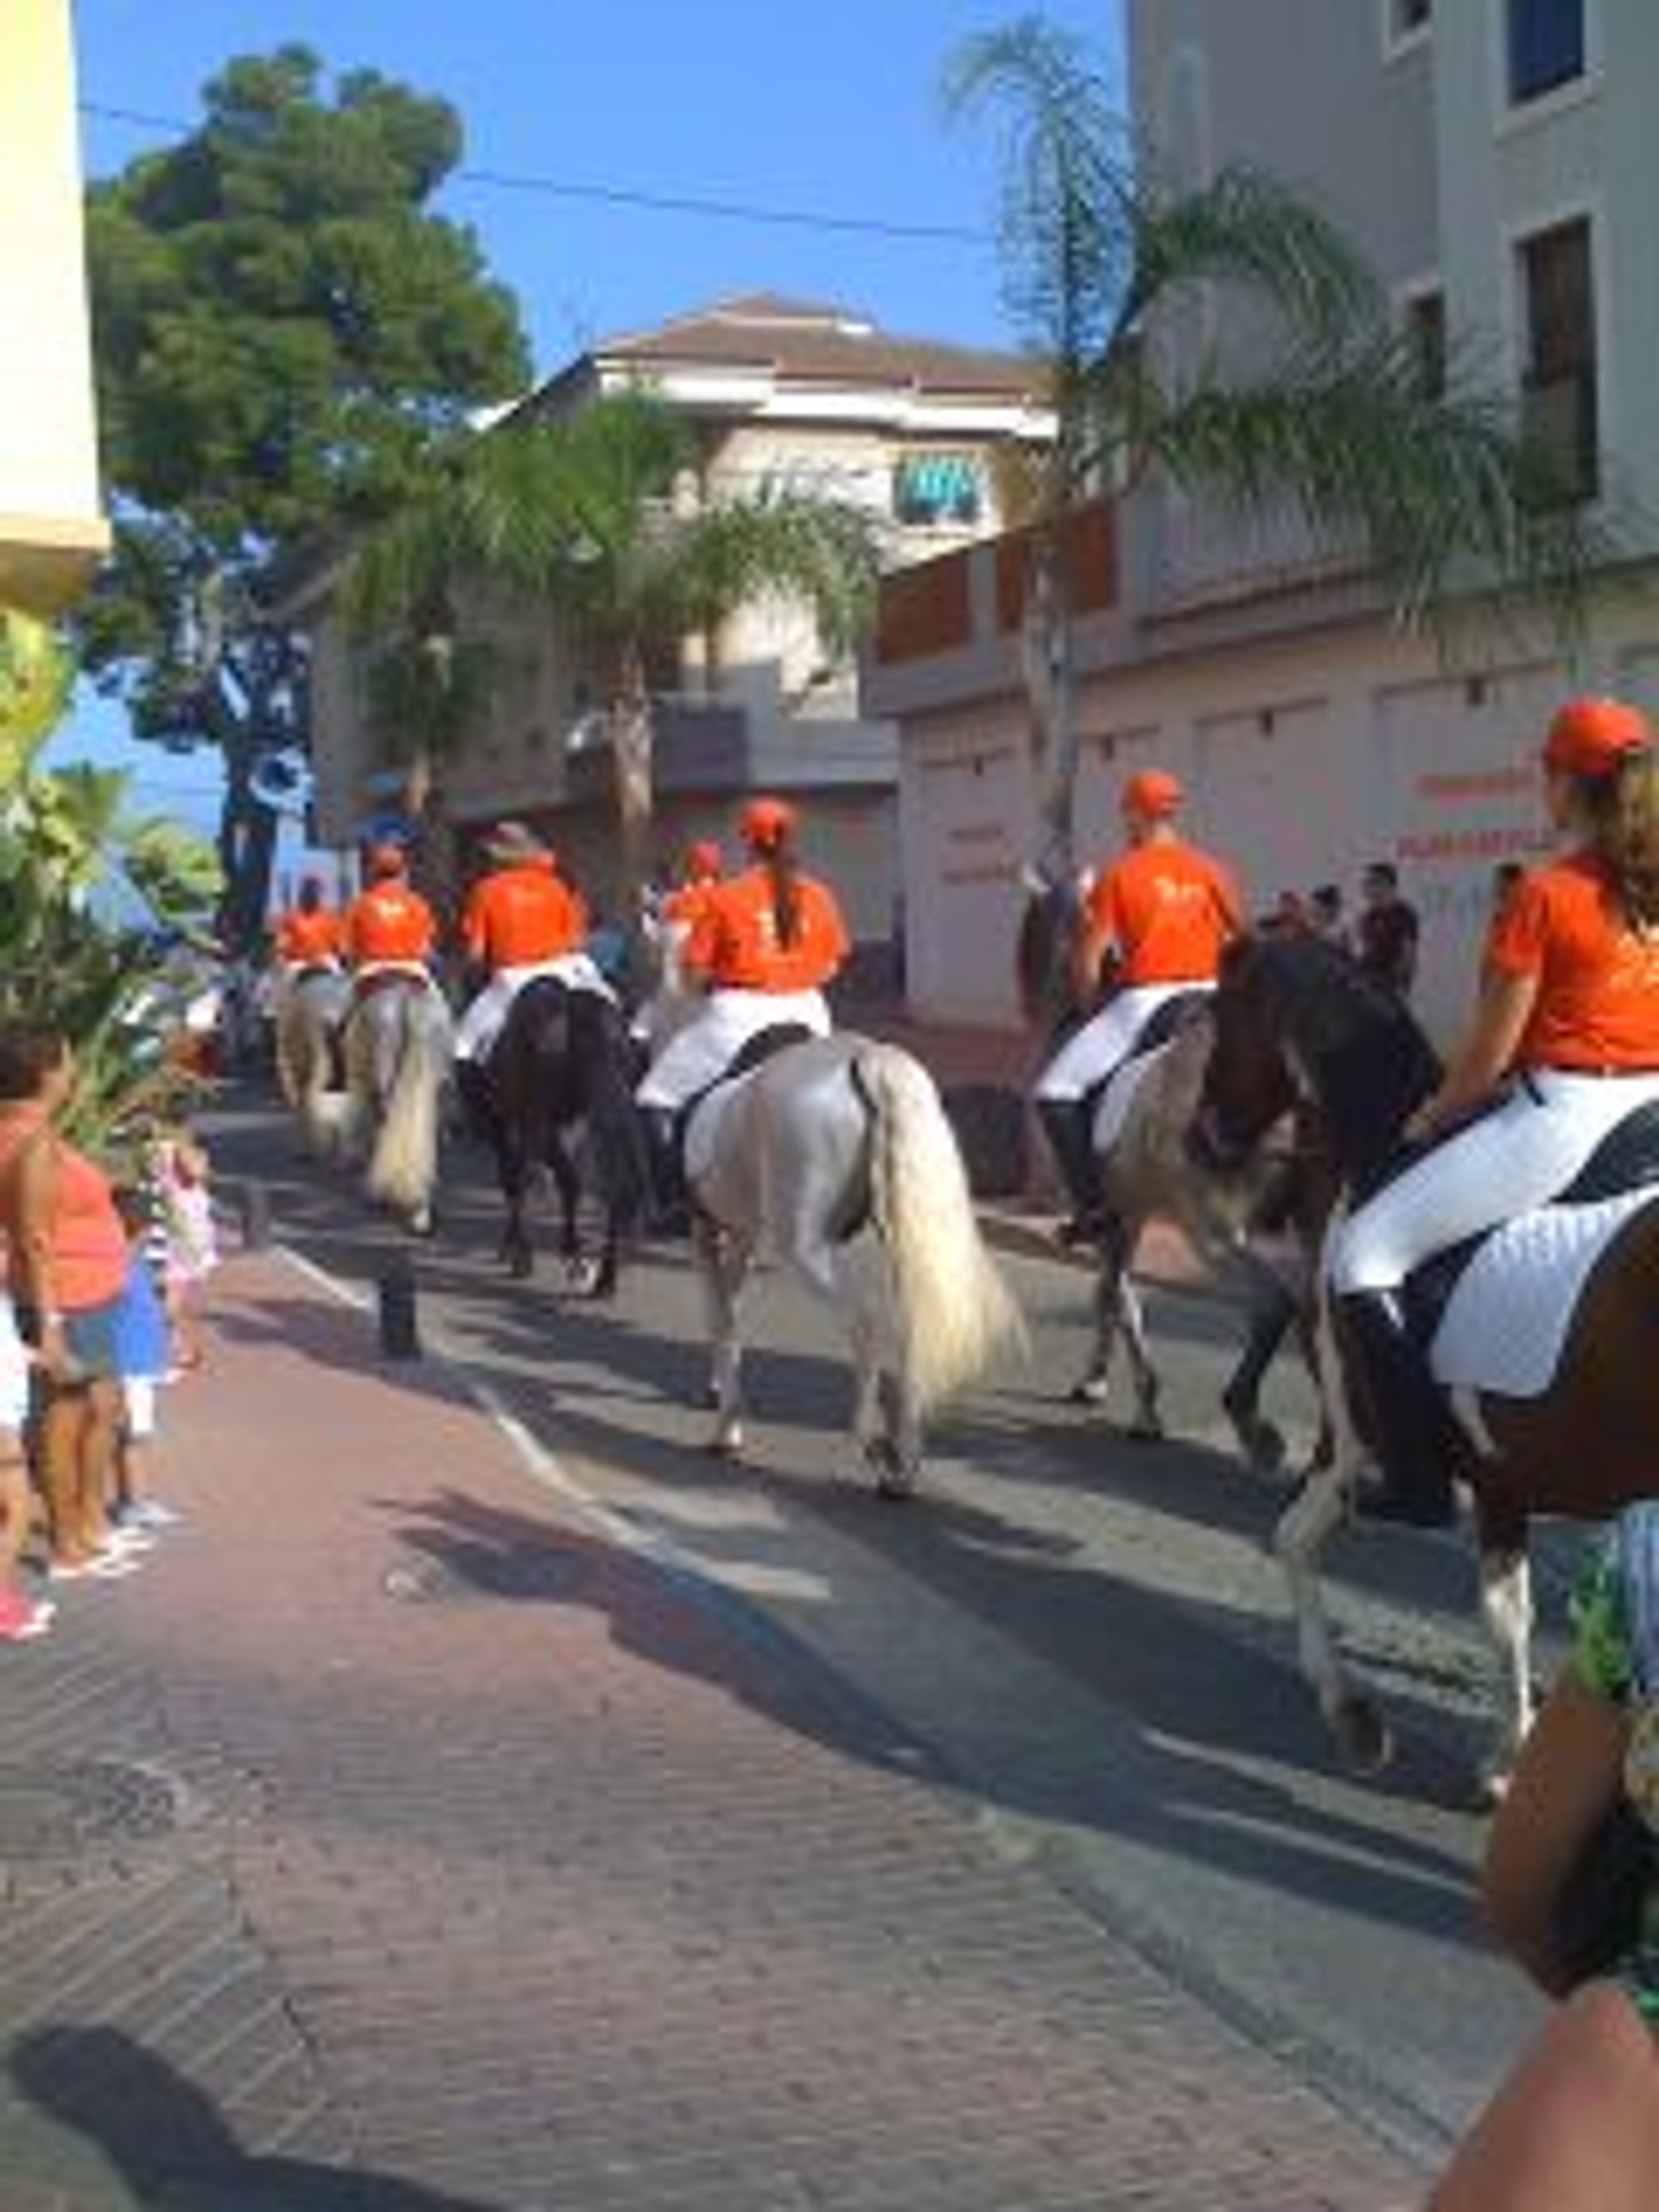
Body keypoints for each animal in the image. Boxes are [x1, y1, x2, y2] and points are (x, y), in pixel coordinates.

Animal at [677, 1030, 1021, 1486]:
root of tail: (869, 1058)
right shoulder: (740, 1238)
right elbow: (729, 1316)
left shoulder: (708, 1235)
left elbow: (720, 1320)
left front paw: (726, 1427)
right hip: (900, 1239)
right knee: (907, 1329)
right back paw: (903, 1454)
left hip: (802, 1249)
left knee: (865, 1324)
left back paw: (874, 1443)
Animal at [1203, 933, 1659, 1796]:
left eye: (1217, 1012)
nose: (1204, 1135)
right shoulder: (1506, 1477)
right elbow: (1512, 1613)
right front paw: (1513, 1754)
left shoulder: (1349, 1441)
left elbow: (1293, 1540)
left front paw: (1358, 1717)